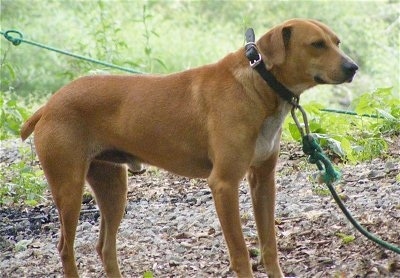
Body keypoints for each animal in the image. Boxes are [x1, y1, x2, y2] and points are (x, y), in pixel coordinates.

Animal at [20, 18, 356, 276]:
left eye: (337, 41)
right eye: (316, 44)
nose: (353, 67)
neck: (258, 82)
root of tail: (49, 105)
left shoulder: (263, 180)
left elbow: (269, 244)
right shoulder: (224, 184)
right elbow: (240, 251)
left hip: (113, 188)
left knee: (104, 247)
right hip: (69, 190)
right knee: (65, 249)